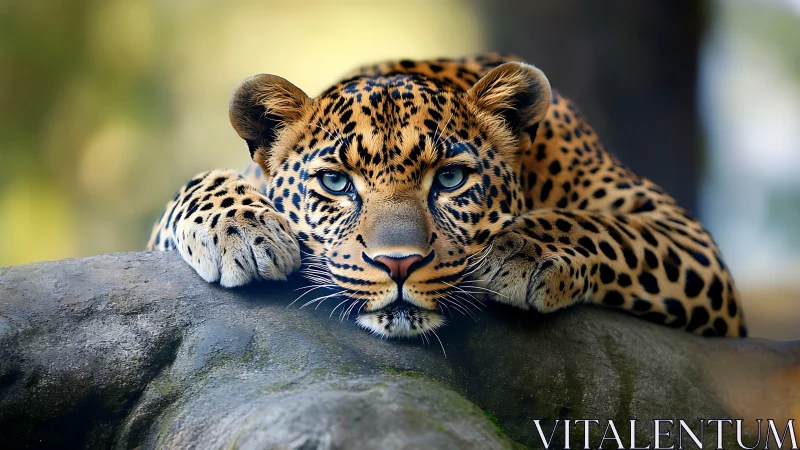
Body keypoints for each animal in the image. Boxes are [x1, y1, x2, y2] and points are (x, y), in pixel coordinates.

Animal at [147, 53, 746, 339]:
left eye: (451, 180)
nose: (399, 264)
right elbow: (194, 186)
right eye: (336, 183)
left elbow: (601, 226)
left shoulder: (689, 241)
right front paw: (243, 232)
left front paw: (521, 251)